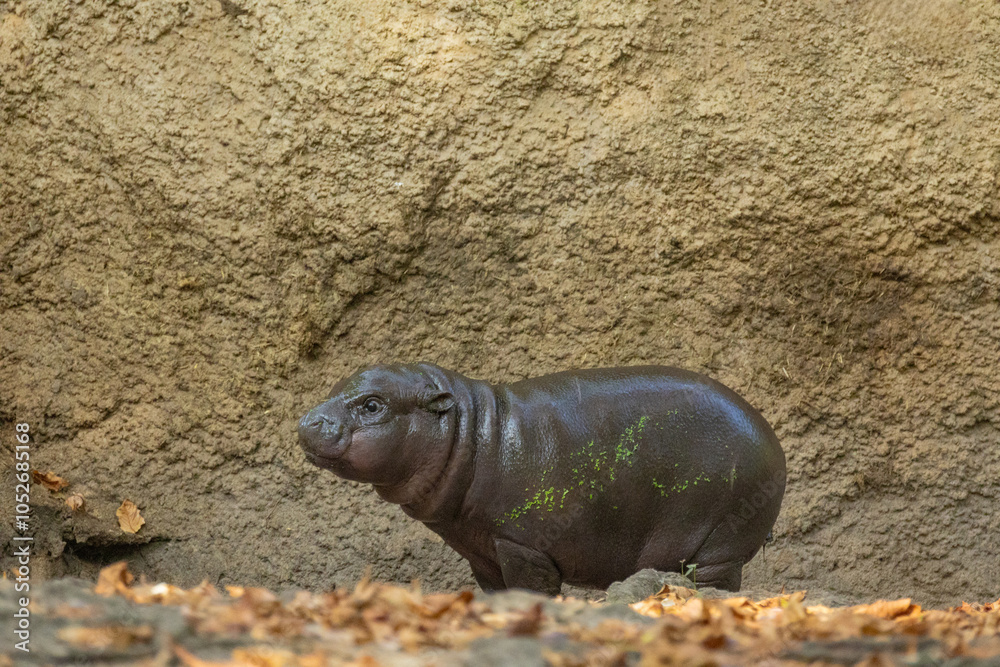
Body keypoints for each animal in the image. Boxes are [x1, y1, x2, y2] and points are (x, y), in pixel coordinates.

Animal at [298, 363, 786, 595]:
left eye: (372, 404)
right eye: (335, 386)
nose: (306, 421)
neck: (473, 432)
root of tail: (774, 442)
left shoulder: (522, 546)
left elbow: (532, 590)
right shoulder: (481, 550)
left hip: (721, 544)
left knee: (716, 583)